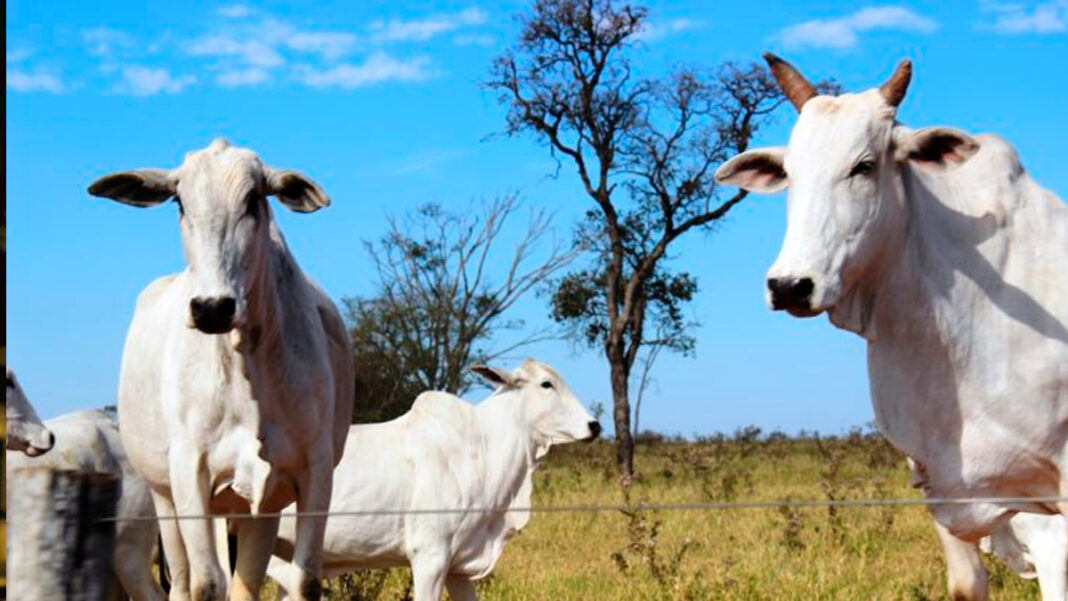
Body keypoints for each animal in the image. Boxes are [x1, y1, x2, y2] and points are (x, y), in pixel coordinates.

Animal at [87, 138, 354, 597]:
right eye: (179, 202)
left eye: (252, 200)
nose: (212, 307)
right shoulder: (190, 472)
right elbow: (206, 584)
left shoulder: (314, 472)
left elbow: (304, 581)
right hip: (164, 499)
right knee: (181, 581)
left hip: (259, 507)